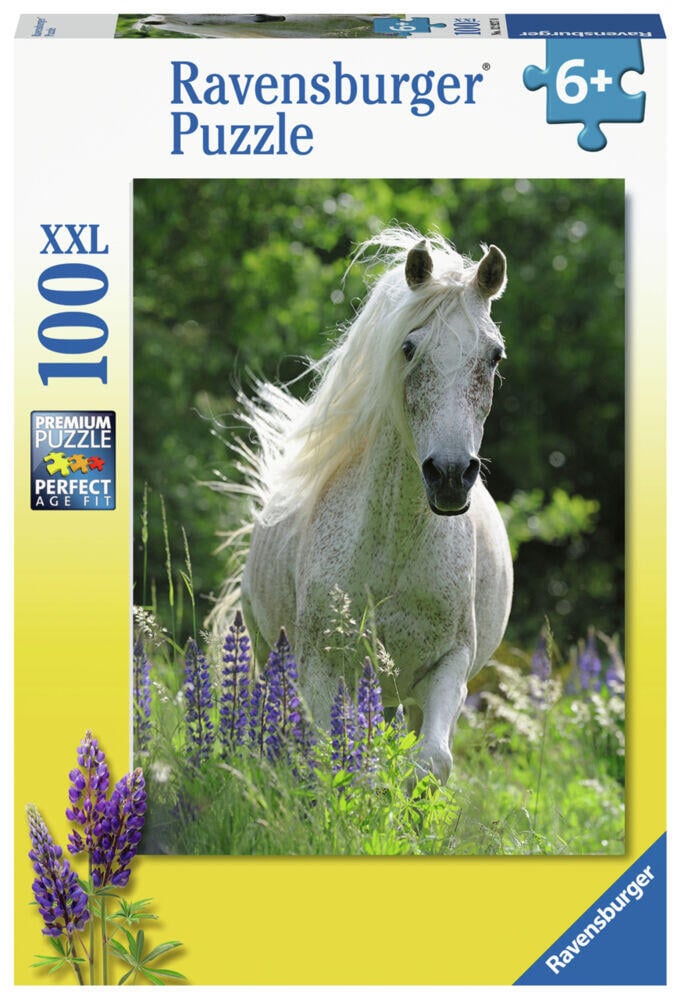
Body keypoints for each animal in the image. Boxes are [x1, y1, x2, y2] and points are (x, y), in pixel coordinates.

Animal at [223, 227, 513, 783]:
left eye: (494, 356)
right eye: (409, 347)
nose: (449, 476)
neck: (393, 549)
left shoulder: (449, 666)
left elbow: (431, 762)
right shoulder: (320, 667)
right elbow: (331, 760)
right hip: (271, 655)